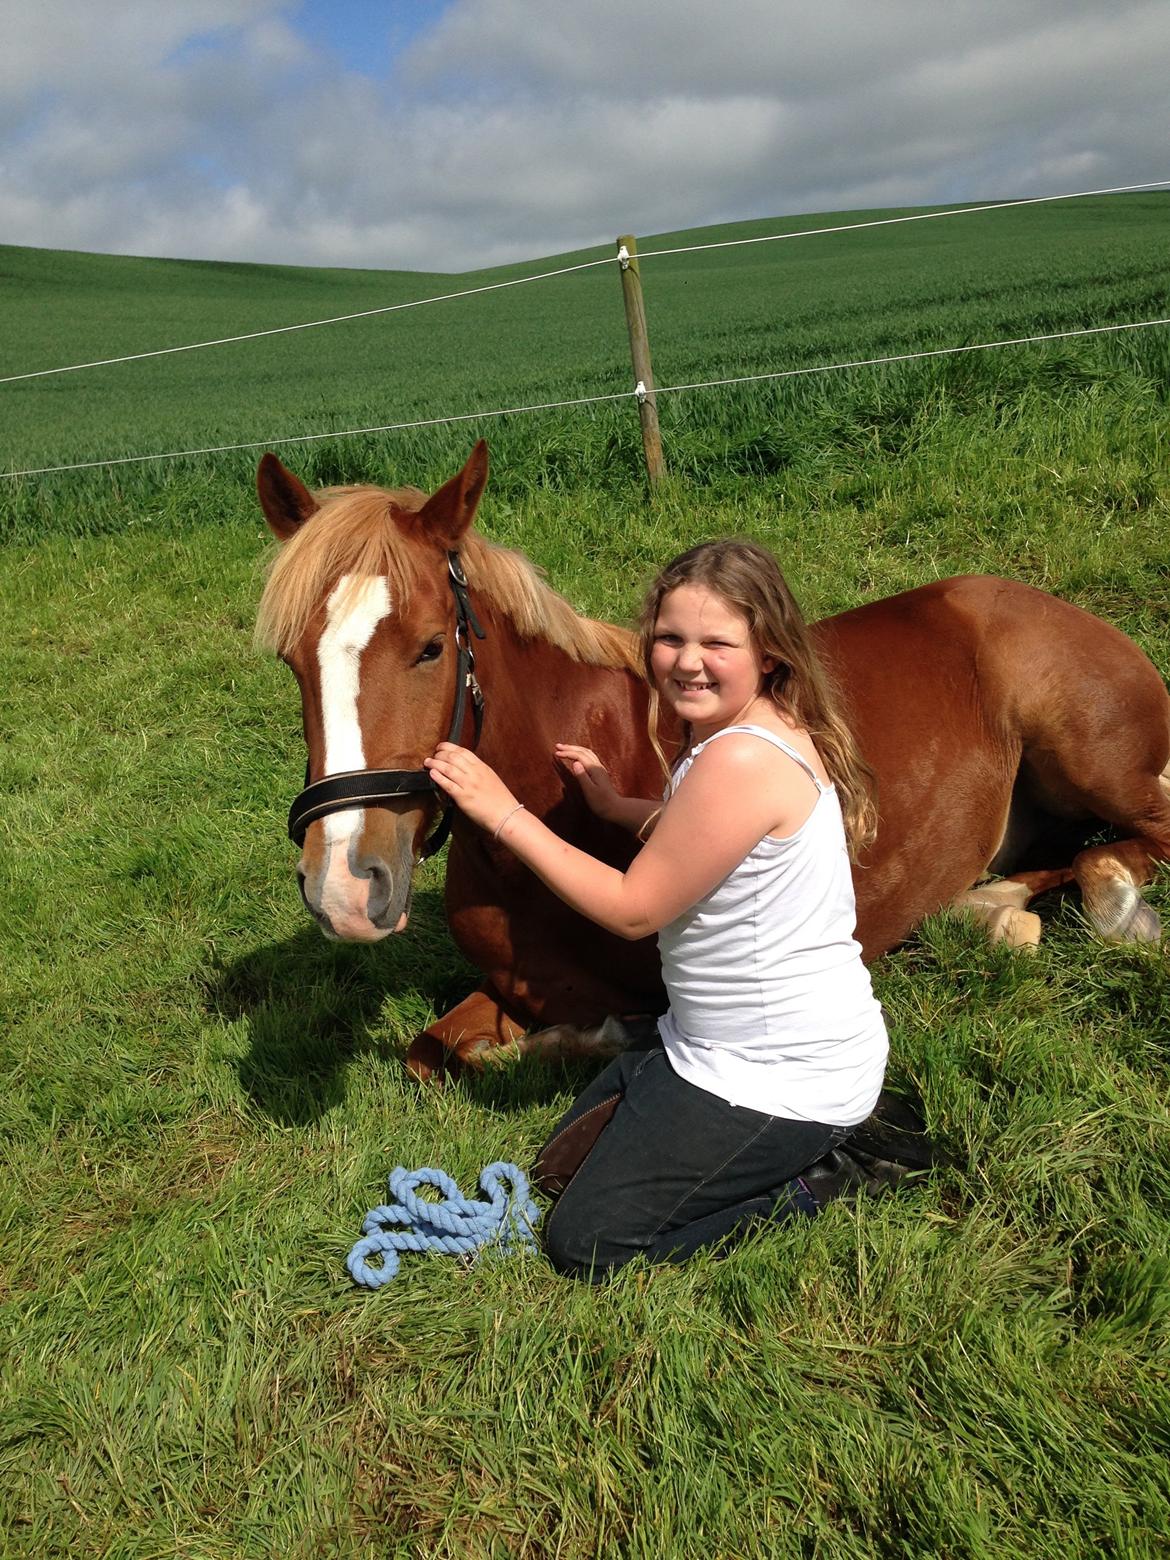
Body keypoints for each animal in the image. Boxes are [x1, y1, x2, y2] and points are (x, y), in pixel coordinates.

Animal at [255, 433, 1170, 1079]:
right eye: (292, 660)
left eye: (431, 648)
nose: (344, 888)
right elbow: (433, 1053)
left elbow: (583, 1037)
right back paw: (995, 908)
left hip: (1092, 758)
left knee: (1131, 844)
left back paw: (1105, 908)